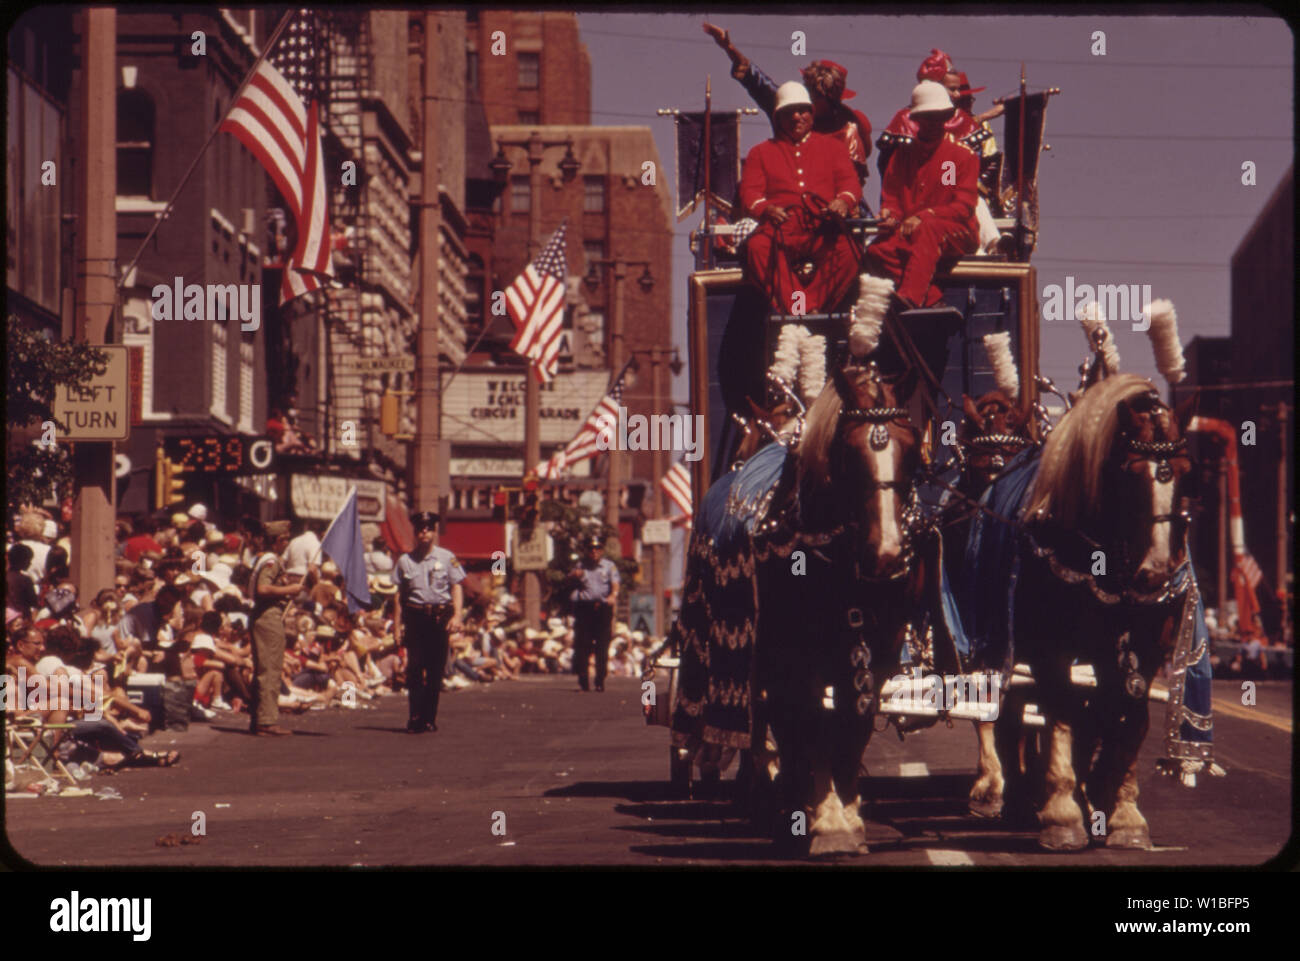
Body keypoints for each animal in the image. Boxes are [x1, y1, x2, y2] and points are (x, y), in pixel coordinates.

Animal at [754, 361, 925, 858]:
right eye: (849, 454)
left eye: (912, 451)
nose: (887, 555)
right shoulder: (800, 651)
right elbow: (811, 721)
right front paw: (827, 822)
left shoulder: (881, 646)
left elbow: (856, 719)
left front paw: (848, 814)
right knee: (782, 718)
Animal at [1013, 377, 1190, 847]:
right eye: (1128, 471)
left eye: (1186, 470)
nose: (1157, 572)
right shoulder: (1052, 647)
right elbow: (1060, 711)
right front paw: (1063, 814)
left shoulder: (1144, 650)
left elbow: (1128, 719)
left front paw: (1122, 812)